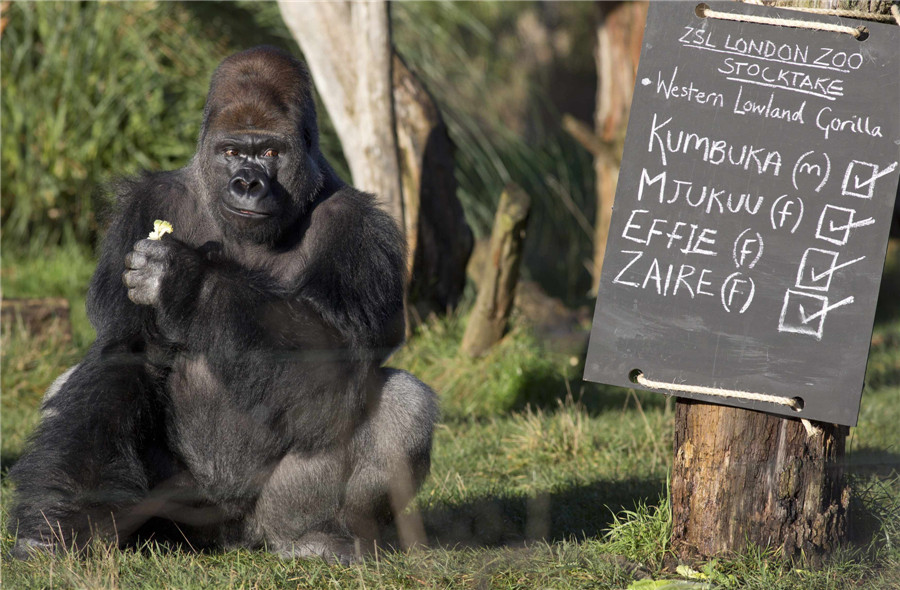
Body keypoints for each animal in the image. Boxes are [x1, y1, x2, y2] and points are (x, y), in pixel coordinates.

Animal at [7, 46, 440, 564]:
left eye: (271, 152)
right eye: (232, 152)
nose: (247, 184)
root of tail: (232, 536)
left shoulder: (363, 231)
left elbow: (335, 357)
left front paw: (187, 282)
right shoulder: (143, 207)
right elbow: (125, 355)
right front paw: (56, 519)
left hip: (265, 519)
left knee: (402, 403)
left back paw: (319, 535)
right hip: (184, 510)